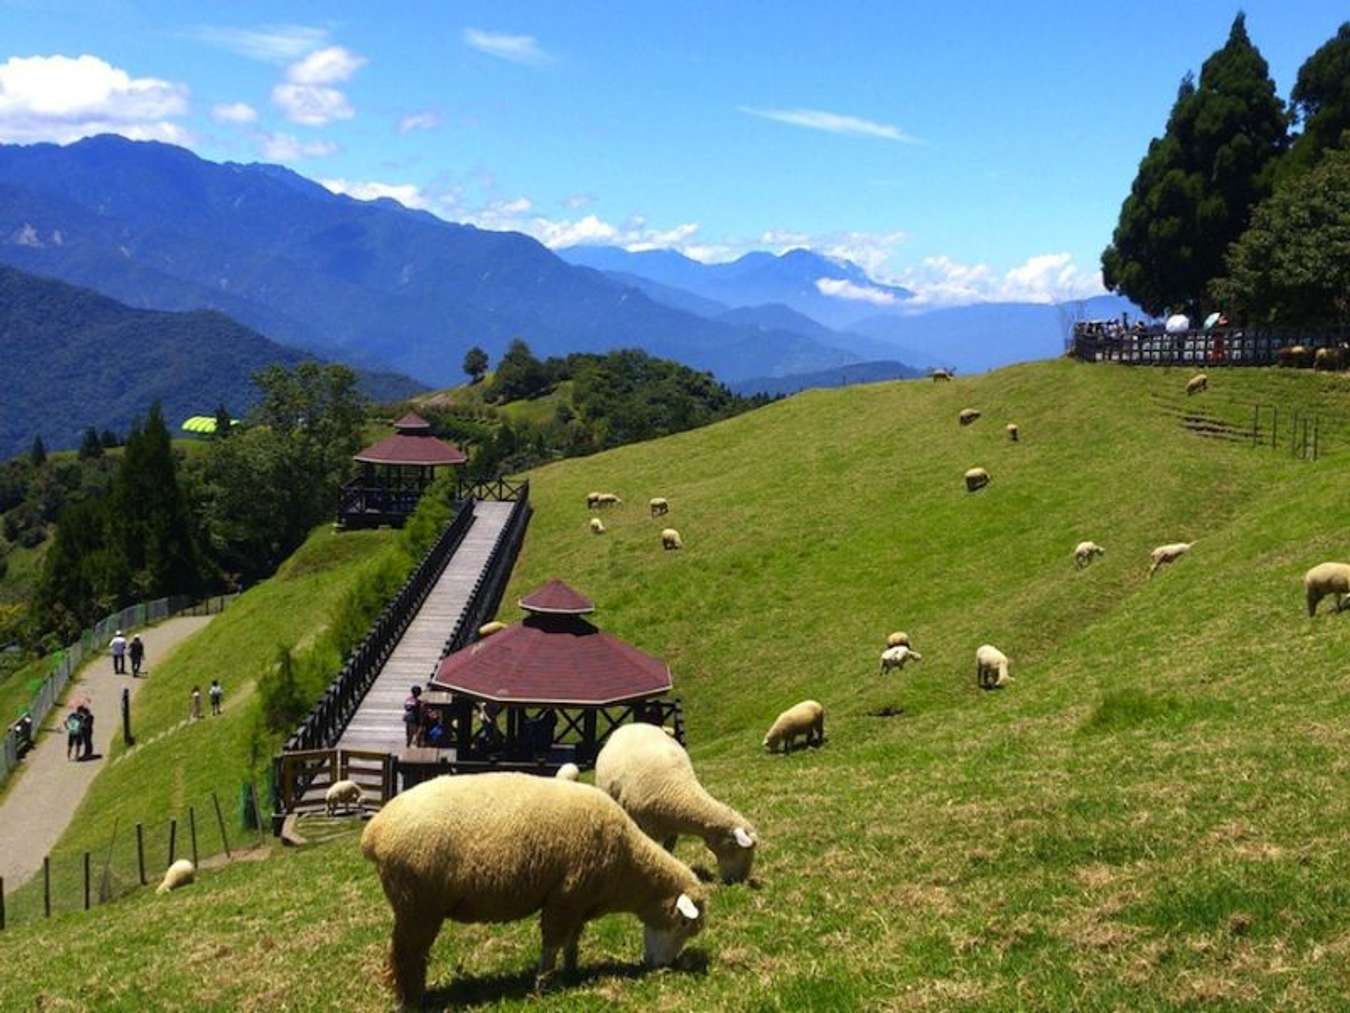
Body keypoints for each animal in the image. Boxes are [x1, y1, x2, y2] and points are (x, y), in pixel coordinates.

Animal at [364, 772, 712, 1004]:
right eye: (683, 924)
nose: (662, 967)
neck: (628, 864)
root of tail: (375, 831)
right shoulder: (564, 897)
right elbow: (552, 942)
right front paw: (544, 984)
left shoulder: (580, 901)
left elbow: (572, 940)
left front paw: (573, 971)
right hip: (417, 904)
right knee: (406, 954)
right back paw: (412, 999)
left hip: (416, 905)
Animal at [594, 723, 756, 886]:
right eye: (734, 846)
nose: (738, 881)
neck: (678, 790)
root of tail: (631, 725)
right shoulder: (648, 829)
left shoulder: (672, 830)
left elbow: (668, 851)